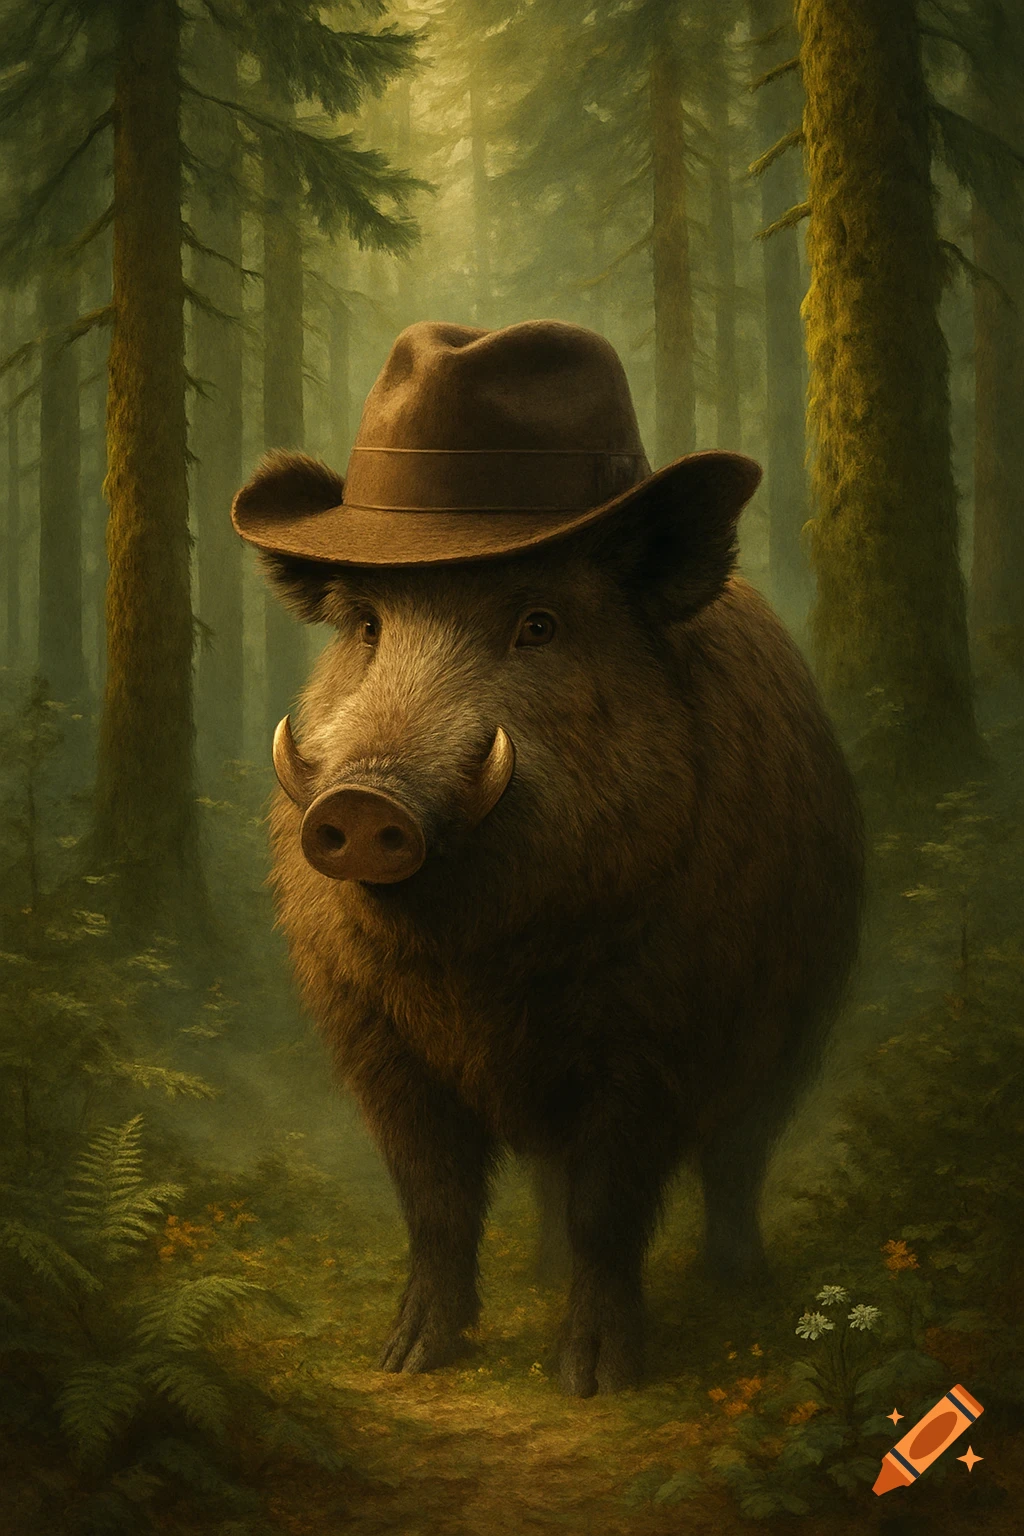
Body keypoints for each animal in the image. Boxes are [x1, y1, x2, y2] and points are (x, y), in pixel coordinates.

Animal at [235, 441, 863, 1399]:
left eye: (538, 625)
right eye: (368, 627)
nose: (364, 799)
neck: (473, 962)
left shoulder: (659, 1035)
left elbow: (610, 1205)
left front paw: (595, 1383)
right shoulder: (370, 1035)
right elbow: (434, 1198)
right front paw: (405, 1361)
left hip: (797, 1025)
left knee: (736, 1156)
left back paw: (737, 1282)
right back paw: (540, 1274)